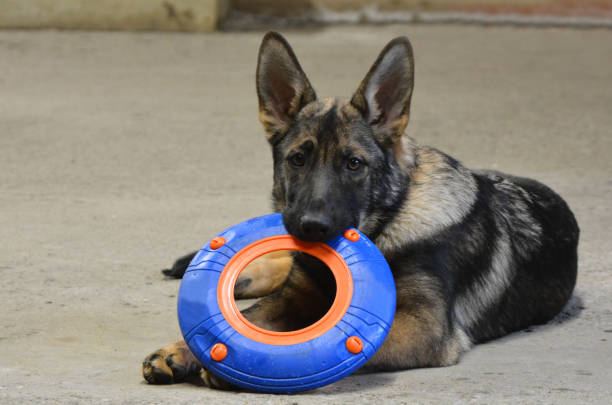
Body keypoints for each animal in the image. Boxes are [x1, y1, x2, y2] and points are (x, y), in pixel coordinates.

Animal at [142, 30, 580, 386]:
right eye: (297, 160)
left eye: (354, 164)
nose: (311, 227)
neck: (390, 218)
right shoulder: (291, 299)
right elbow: (247, 319)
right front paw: (181, 349)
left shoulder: (421, 325)